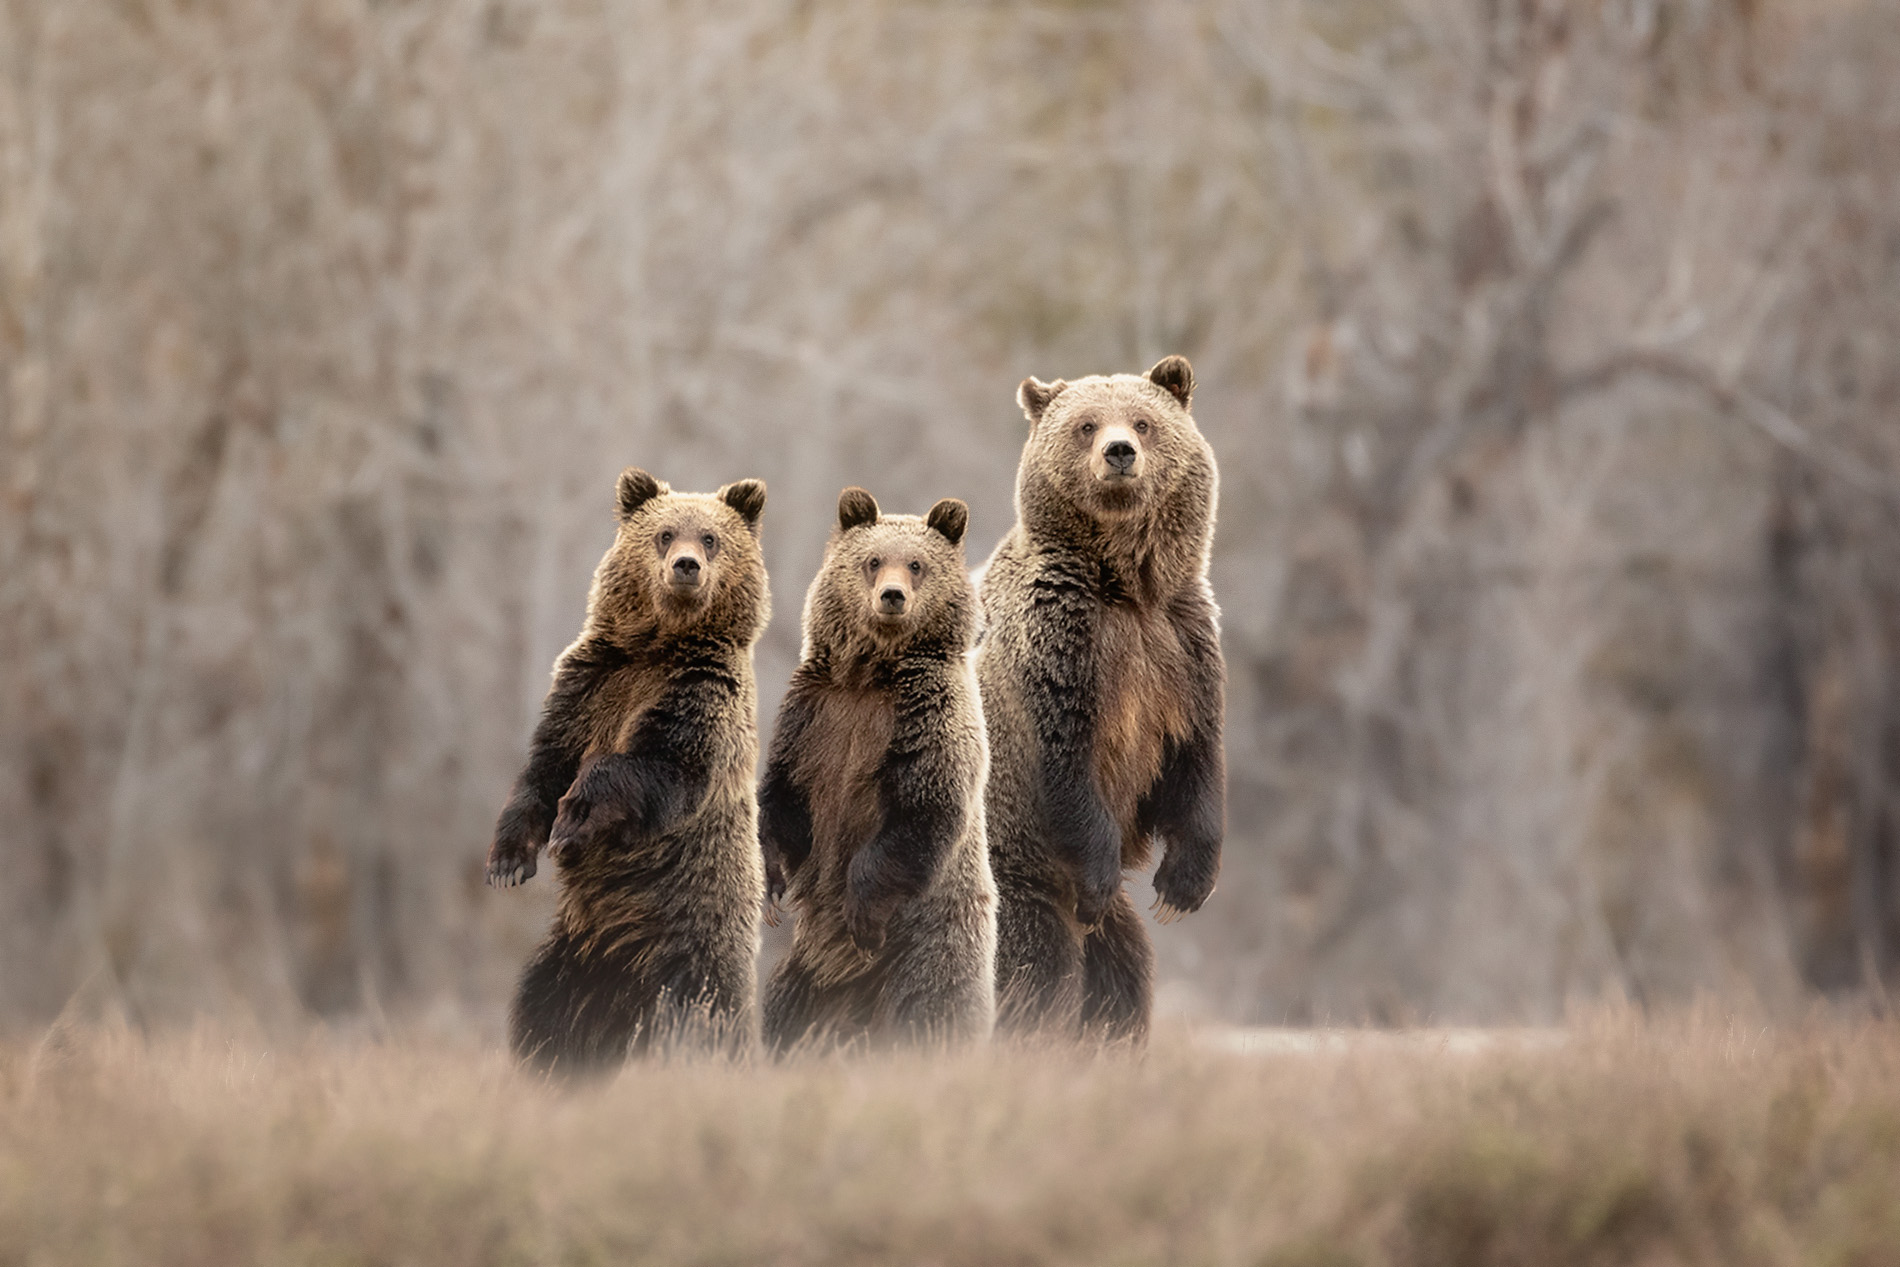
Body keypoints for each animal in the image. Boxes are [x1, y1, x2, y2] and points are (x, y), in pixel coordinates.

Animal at [485, 467, 770, 1076]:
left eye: (710, 538)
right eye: (664, 534)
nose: (686, 566)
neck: (659, 646)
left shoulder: (698, 697)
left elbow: (652, 767)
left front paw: (572, 822)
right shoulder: (589, 683)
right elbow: (543, 767)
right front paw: (509, 861)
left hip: (689, 947)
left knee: (700, 1022)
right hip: (573, 958)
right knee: (546, 1014)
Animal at [758, 487, 996, 1053]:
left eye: (917, 564)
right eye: (871, 561)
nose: (892, 596)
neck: (872, 673)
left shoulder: (927, 715)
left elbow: (922, 809)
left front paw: (861, 912)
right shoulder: (814, 715)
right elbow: (784, 796)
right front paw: (773, 883)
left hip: (929, 946)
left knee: (930, 1008)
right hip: (804, 972)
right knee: (783, 1006)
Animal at [975, 355, 1224, 1045]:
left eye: (1143, 421)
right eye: (1086, 424)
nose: (1119, 452)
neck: (1125, 586)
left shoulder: (1183, 647)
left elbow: (1196, 761)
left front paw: (1182, 887)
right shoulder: (1060, 647)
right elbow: (1066, 762)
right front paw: (1102, 870)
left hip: (1112, 935)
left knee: (1123, 983)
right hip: (1017, 884)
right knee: (1033, 976)